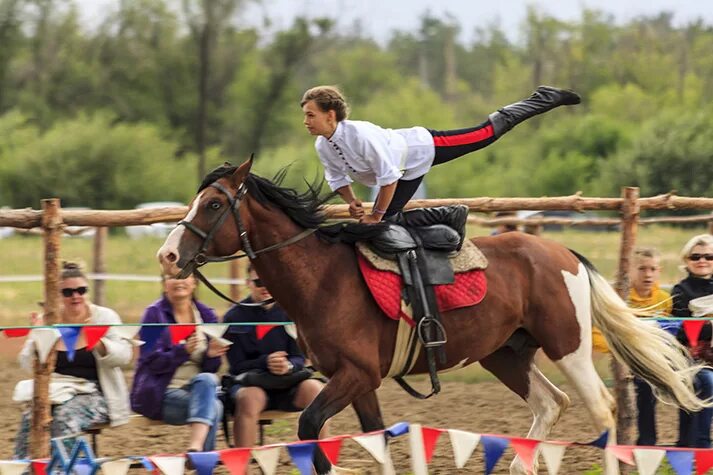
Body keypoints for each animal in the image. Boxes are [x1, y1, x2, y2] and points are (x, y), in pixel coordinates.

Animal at [157, 159, 708, 475]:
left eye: (212, 204)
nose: (167, 255)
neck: (323, 279)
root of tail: (560, 252)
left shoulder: (355, 375)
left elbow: (312, 429)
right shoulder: (360, 380)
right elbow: (374, 439)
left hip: (566, 345)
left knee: (602, 409)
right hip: (505, 354)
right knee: (551, 404)